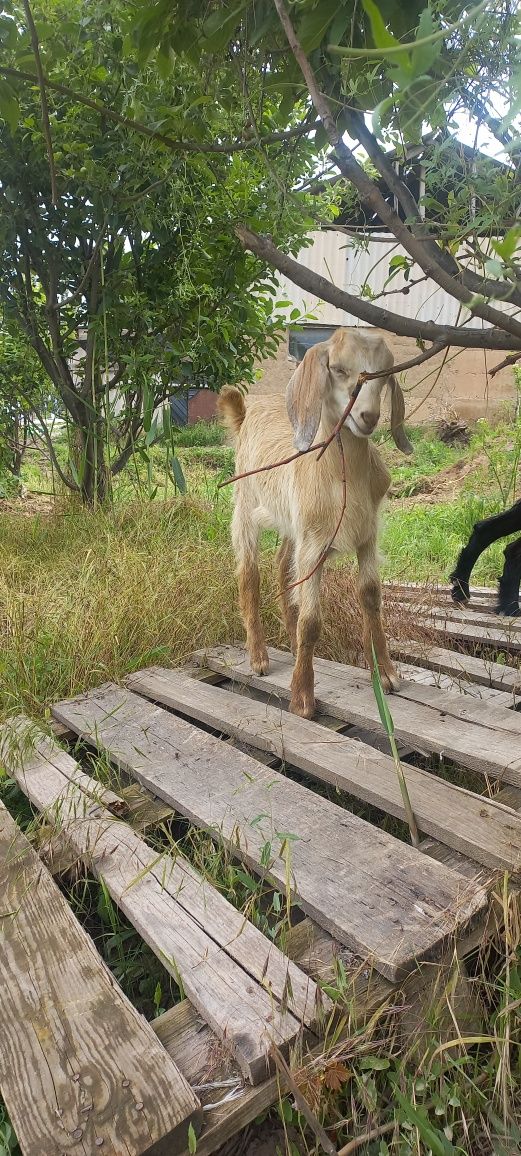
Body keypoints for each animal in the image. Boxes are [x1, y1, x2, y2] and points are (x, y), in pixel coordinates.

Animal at [218, 325, 413, 716]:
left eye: (384, 374)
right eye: (337, 369)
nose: (368, 416)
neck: (342, 477)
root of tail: (246, 412)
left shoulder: (366, 535)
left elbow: (371, 597)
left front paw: (385, 672)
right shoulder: (313, 544)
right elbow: (311, 621)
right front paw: (303, 697)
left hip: (295, 527)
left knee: (282, 565)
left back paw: (291, 647)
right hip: (246, 507)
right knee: (249, 574)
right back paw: (258, 656)